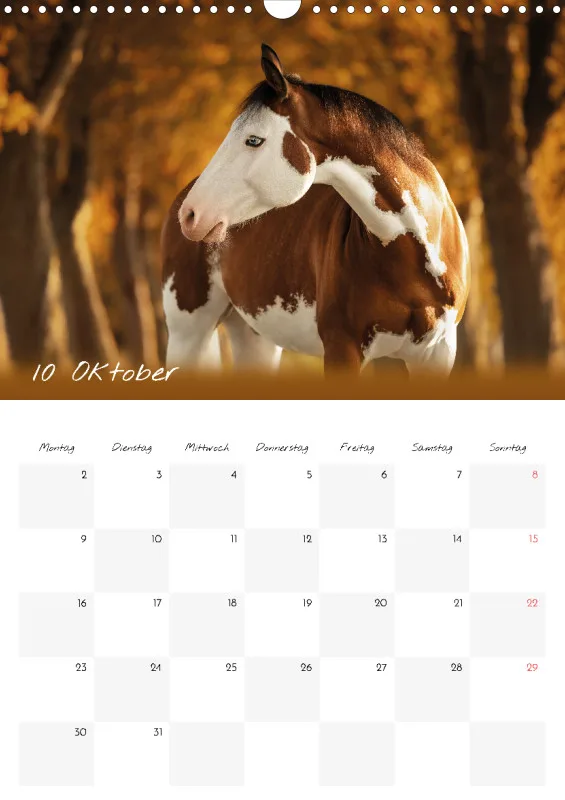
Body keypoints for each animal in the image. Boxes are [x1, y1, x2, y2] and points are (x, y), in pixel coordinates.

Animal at [161, 44, 469, 375]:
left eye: (253, 140)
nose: (191, 215)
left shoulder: (436, 354)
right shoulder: (342, 349)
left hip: (254, 336)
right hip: (189, 333)